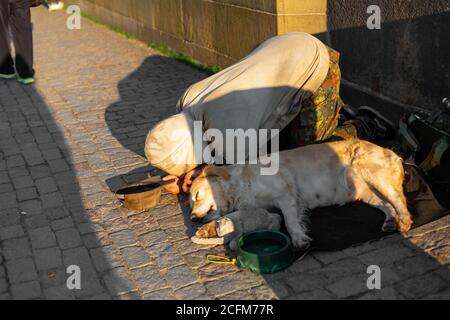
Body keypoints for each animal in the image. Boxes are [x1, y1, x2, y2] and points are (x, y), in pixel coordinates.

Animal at [188, 139, 414, 250]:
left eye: (197, 195)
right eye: (190, 203)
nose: (192, 218)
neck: (241, 184)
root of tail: (393, 152)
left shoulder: (285, 195)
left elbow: (289, 222)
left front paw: (299, 239)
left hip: (371, 172)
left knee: (399, 200)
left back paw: (404, 221)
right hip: (365, 192)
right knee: (387, 205)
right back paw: (390, 222)